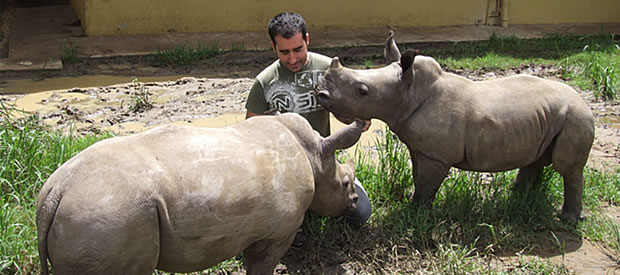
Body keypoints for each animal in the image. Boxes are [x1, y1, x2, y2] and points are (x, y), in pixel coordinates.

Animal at [37, 113, 364, 274]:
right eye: (346, 184)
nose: (355, 202)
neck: (316, 157)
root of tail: (54, 195)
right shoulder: (276, 234)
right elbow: (261, 266)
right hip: (107, 218)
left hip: (94, 218)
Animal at [318, 31, 592, 223]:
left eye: (362, 91)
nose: (321, 93)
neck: (408, 91)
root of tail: (583, 100)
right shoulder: (422, 148)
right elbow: (419, 178)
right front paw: (415, 207)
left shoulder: (437, 155)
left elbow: (427, 183)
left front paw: (416, 213)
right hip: (552, 116)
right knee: (535, 158)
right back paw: (517, 196)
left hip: (577, 117)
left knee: (568, 168)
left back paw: (567, 219)